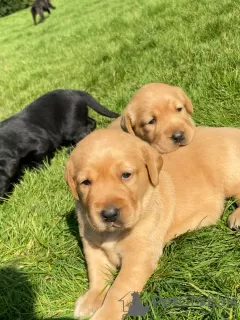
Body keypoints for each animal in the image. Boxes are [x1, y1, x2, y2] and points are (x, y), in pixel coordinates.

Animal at [65, 128, 240, 320]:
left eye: (126, 175)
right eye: (86, 182)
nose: (109, 214)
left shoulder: (139, 257)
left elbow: (118, 290)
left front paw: (105, 315)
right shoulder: (93, 246)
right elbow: (97, 274)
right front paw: (91, 299)